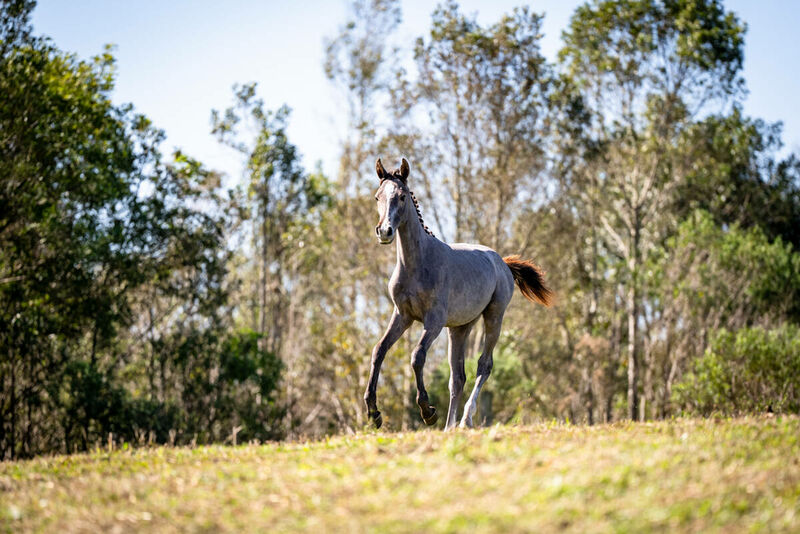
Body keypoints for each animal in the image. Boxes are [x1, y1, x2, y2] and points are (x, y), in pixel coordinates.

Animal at [362, 156, 552, 432]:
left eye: (402, 196)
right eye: (378, 197)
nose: (384, 231)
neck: (418, 265)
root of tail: (502, 263)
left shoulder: (434, 321)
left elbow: (417, 356)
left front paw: (428, 411)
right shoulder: (402, 316)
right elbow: (379, 350)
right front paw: (373, 412)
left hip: (494, 317)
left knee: (484, 365)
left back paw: (464, 420)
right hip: (460, 328)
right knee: (458, 377)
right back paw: (449, 426)